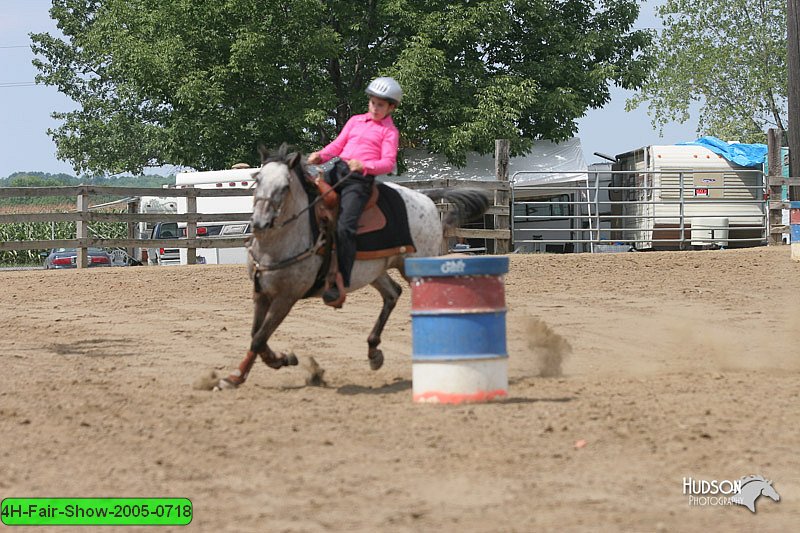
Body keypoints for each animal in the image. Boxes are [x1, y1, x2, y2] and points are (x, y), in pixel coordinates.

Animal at [220, 145, 494, 386]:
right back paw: (374, 352)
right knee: (392, 294)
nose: (260, 222)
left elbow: (259, 338)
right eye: (257, 180)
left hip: (416, 264)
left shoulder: (286, 297)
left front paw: (248, 372)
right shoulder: (261, 293)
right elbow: (256, 336)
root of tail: (424, 198)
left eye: (285, 186)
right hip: (375, 270)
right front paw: (263, 366)